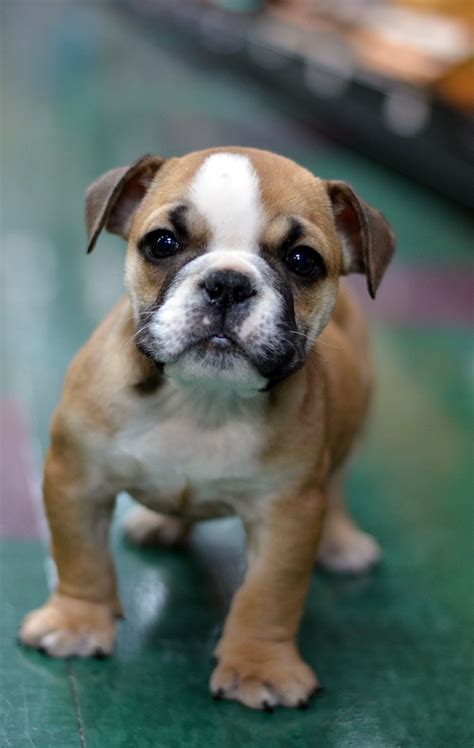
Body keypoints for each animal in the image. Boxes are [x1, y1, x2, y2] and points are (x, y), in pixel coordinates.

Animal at [19, 148, 396, 712]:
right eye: (162, 243)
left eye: (303, 260)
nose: (228, 283)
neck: (201, 400)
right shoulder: (76, 478)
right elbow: (80, 556)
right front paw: (77, 621)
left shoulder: (287, 514)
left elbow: (269, 595)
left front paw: (261, 667)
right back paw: (160, 524)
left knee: (337, 486)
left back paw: (341, 541)